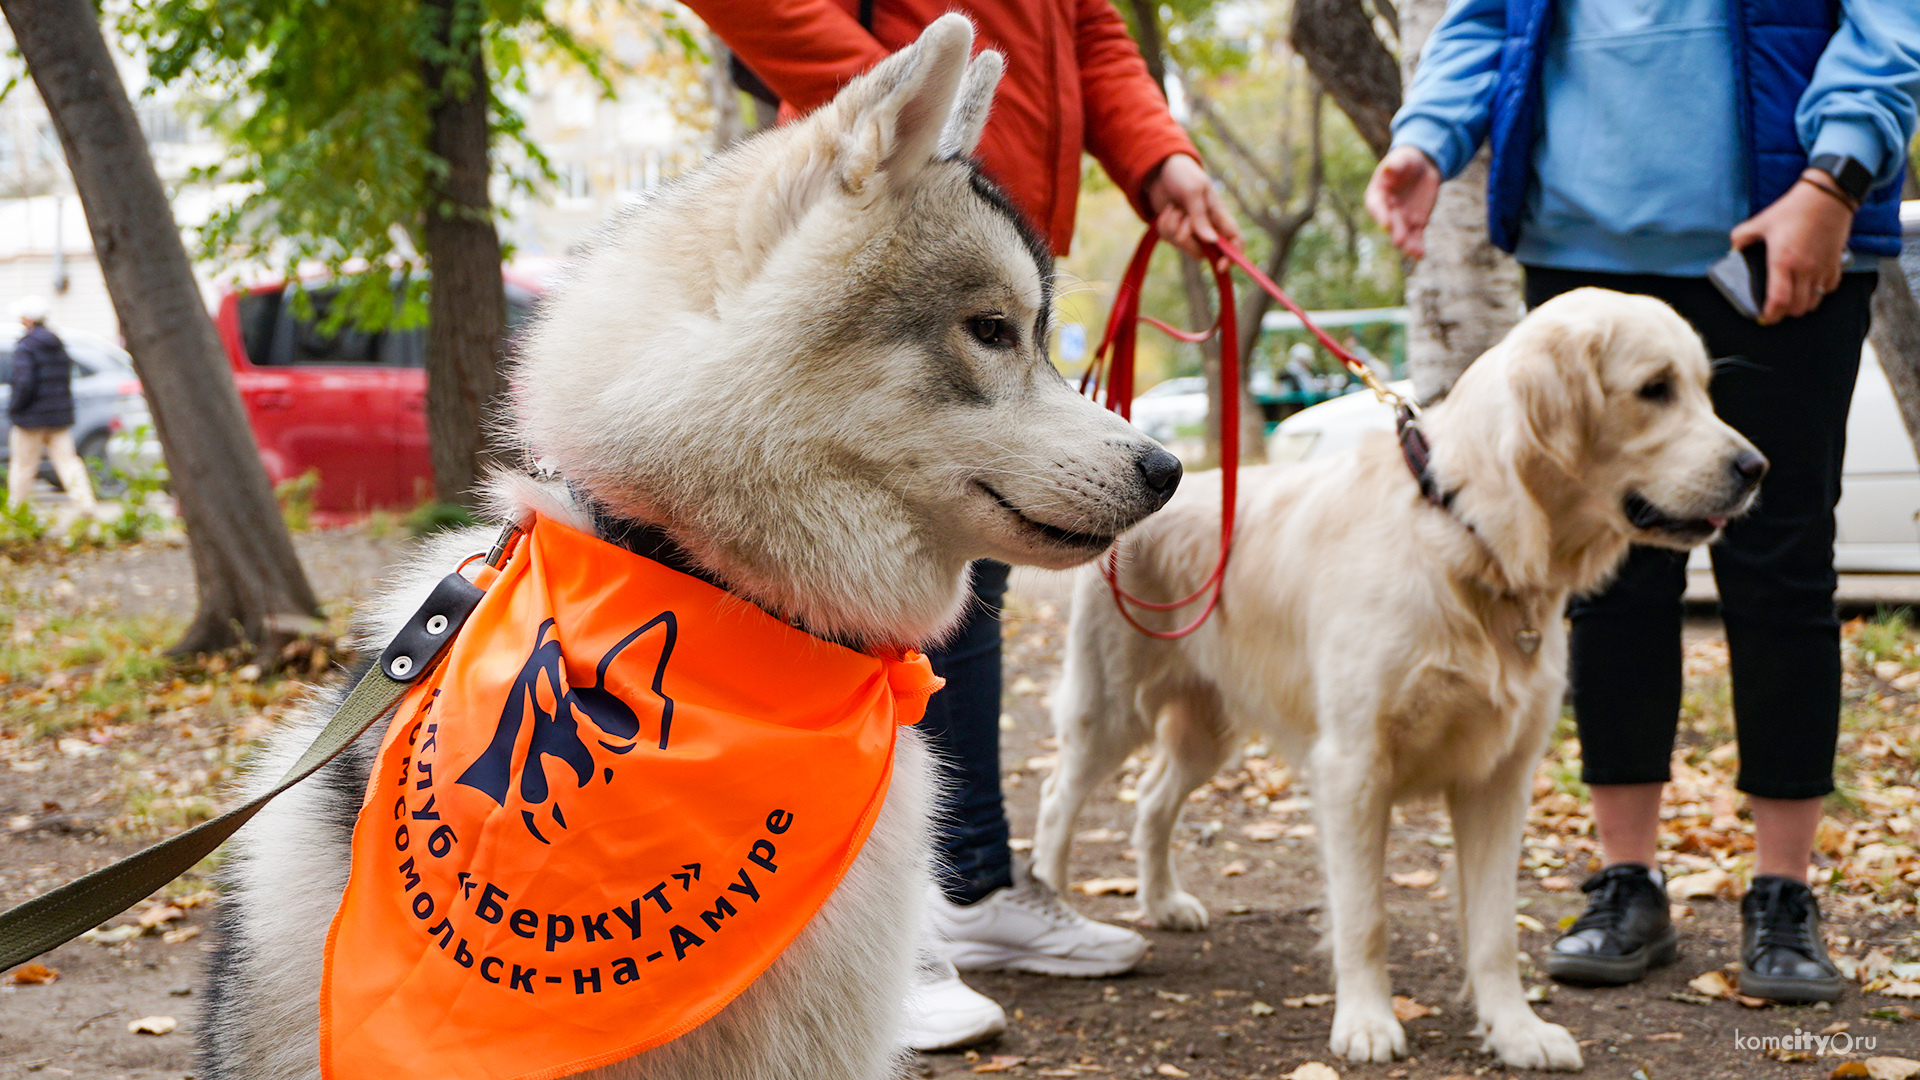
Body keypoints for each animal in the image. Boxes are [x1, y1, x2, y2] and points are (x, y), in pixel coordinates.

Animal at [1044, 288, 1758, 1068]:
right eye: (1656, 389)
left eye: (1704, 388)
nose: (1756, 468)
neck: (1468, 536)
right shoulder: (1353, 767)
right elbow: (1366, 916)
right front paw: (1366, 1021)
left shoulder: (1501, 776)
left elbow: (1496, 929)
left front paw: (1515, 1030)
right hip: (1108, 712)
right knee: (1057, 800)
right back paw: (1050, 909)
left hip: (1207, 731)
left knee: (1151, 800)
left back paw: (1163, 901)